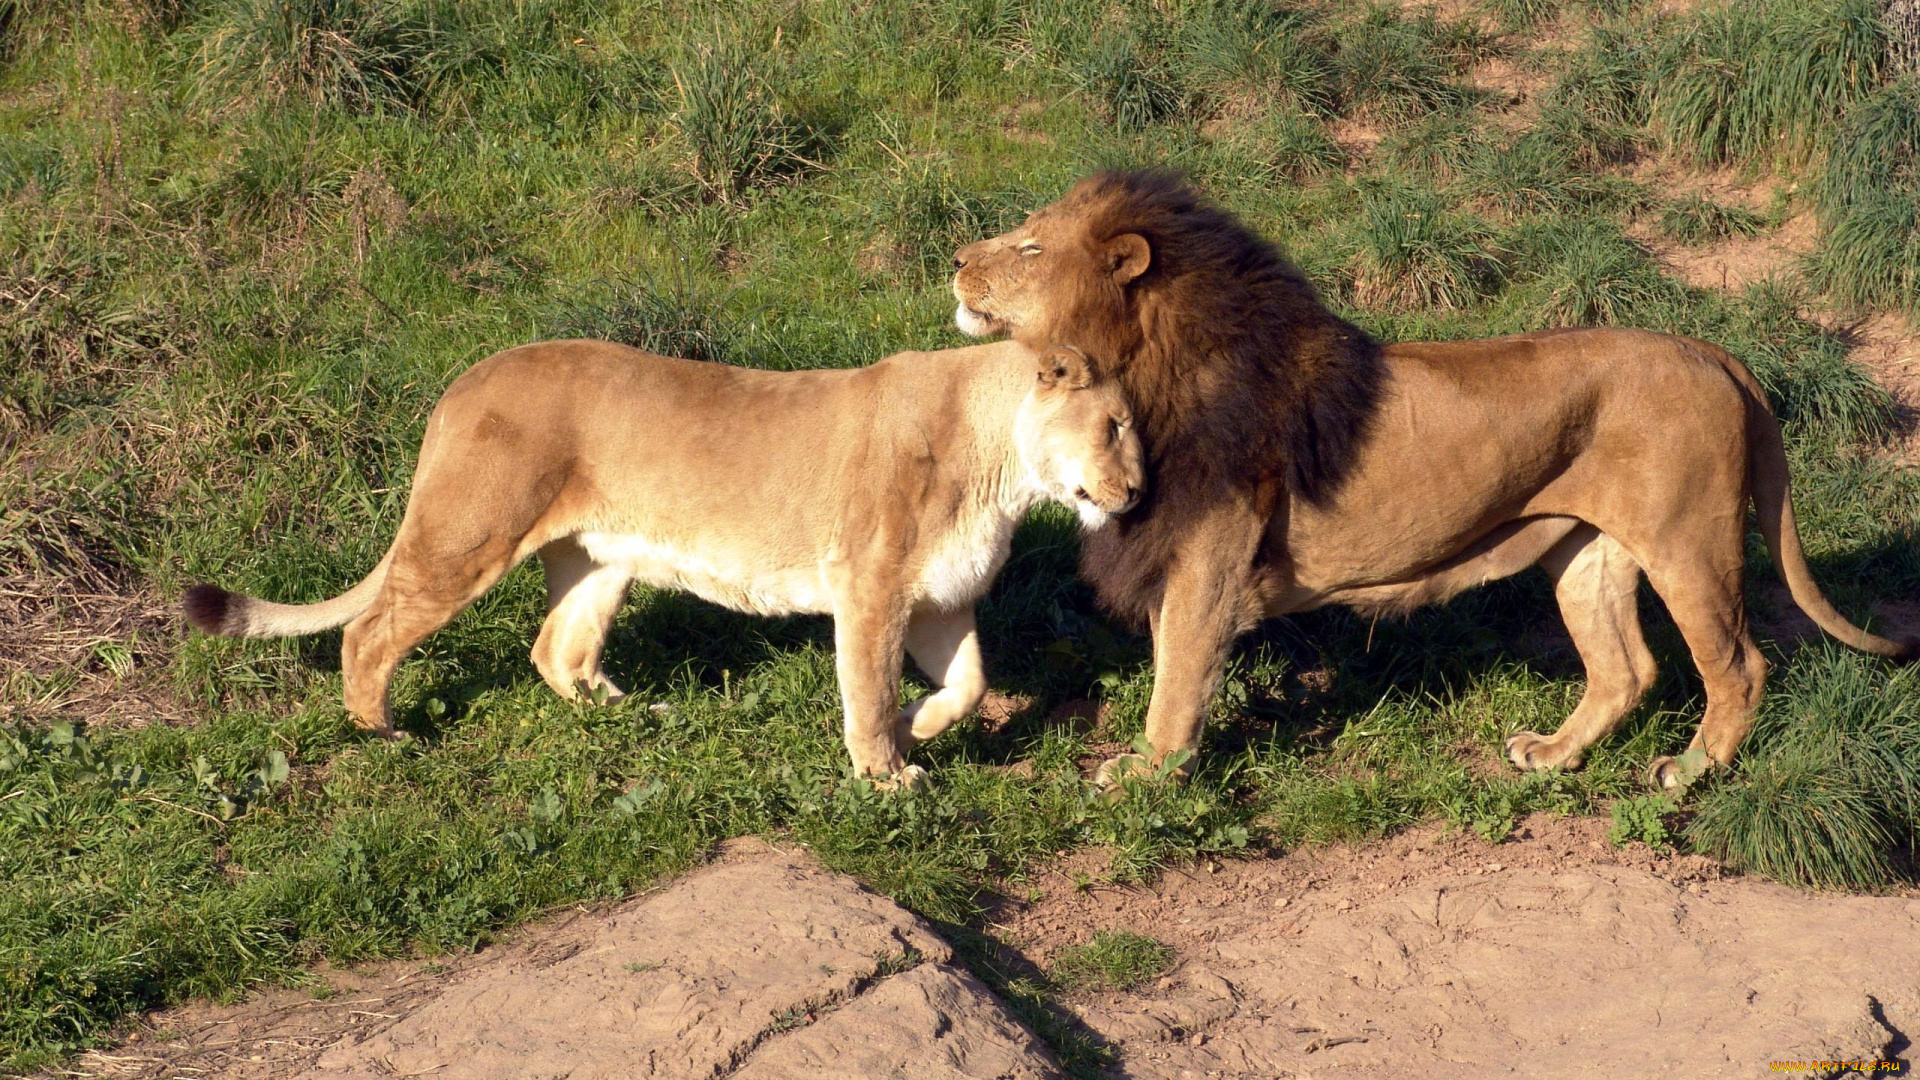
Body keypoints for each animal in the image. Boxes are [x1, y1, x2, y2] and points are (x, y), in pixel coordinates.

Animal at [952, 171, 1912, 787]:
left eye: (1029, 244)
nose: (958, 258)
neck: (1135, 371)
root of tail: (1713, 352)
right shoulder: (1176, 553)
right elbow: (1168, 666)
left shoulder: (1207, 563)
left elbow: (1177, 681)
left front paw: (1148, 777)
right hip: (1587, 551)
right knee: (1627, 669)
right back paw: (1552, 756)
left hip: (1690, 544)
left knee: (1740, 666)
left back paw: (1690, 770)